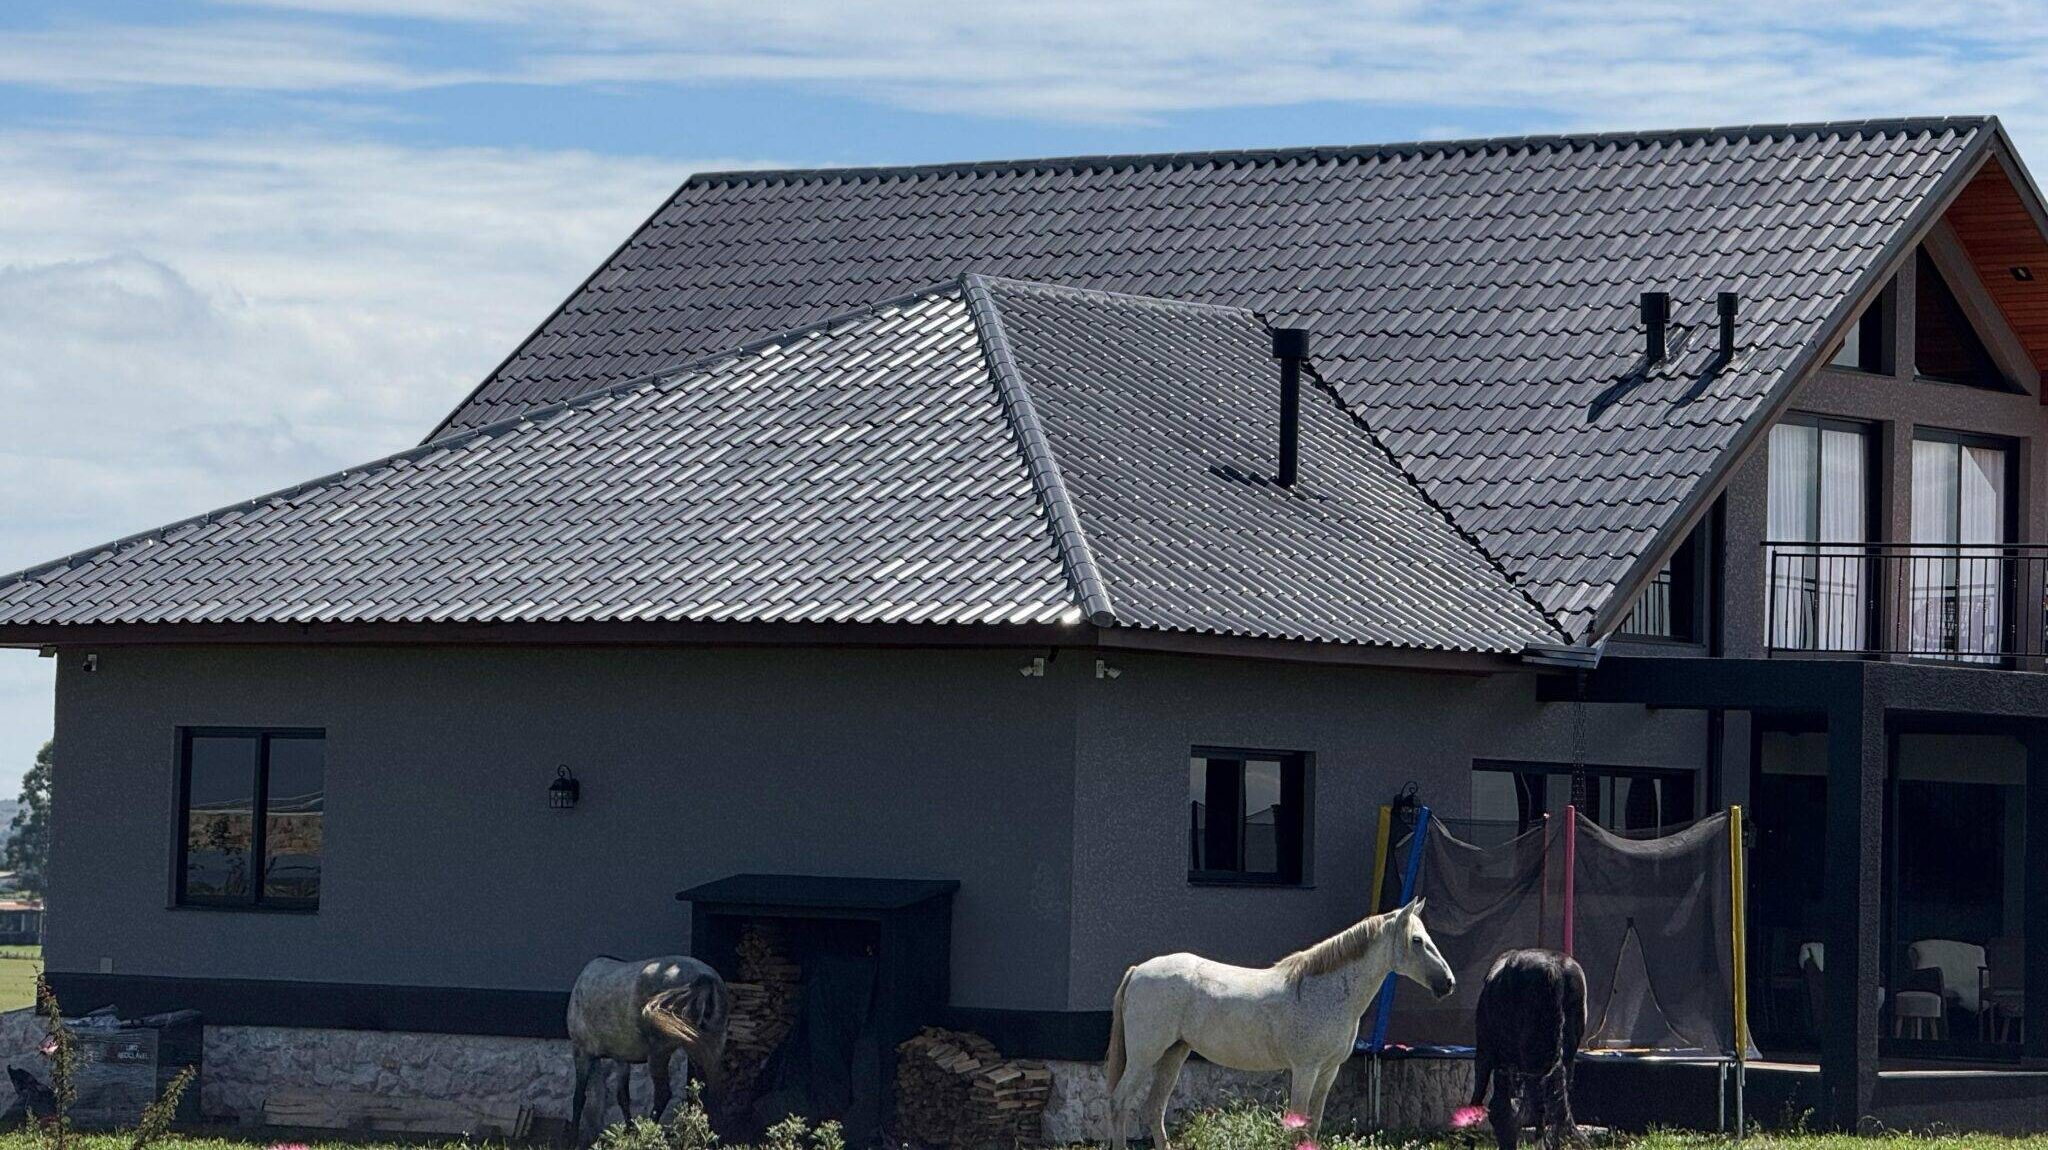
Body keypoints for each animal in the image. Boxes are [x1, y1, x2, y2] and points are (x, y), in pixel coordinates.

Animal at [567, 955, 732, 1142]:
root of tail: (705, 979)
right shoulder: (621, 1057)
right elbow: (622, 1097)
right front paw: (629, 1132)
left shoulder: (581, 1051)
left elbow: (579, 1097)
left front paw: (572, 1140)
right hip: (710, 1046)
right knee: (713, 1091)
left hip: (659, 1051)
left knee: (663, 1093)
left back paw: (647, 1133)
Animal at [1104, 898, 1454, 1150]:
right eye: (1417, 940)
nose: (1448, 983)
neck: (1324, 990)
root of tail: (1137, 971)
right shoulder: (1306, 1069)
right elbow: (1298, 1123)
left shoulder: (1328, 1071)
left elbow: (1313, 1125)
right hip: (1144, 1057)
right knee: (1121, 1103)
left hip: (1173, 1055)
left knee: (1154, 1109)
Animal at [1459, 949, 1587, 1150]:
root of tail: (1555, 971)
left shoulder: (1485, 1051)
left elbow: (1480, 1093)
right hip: (1563, 1053)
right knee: (1557, 1101)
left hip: (1531, 1056)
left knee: (1540, 1102)